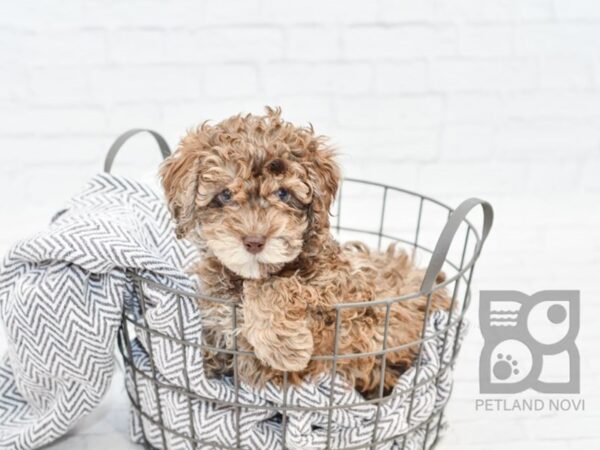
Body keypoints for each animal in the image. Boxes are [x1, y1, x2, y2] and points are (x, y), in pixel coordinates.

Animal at [162, 108, 448, 398]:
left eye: (283, 193)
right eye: (226, 194)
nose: (254, 241)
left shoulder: (347, 308)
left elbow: (279, 287)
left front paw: (283, 347)